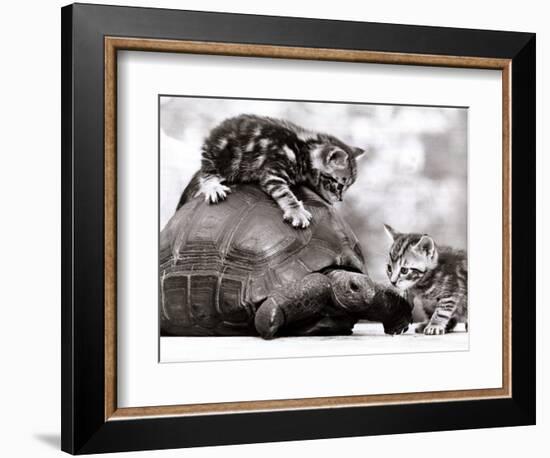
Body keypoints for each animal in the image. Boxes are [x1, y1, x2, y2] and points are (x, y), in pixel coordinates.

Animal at [178, 114, 366, 229]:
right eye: (340, 185)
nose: (341, 199)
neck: (305, 148)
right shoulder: (273, 172)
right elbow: (285, 193)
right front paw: (296, 211)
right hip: (220, 156)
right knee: (207, 173)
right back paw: (213, 186)